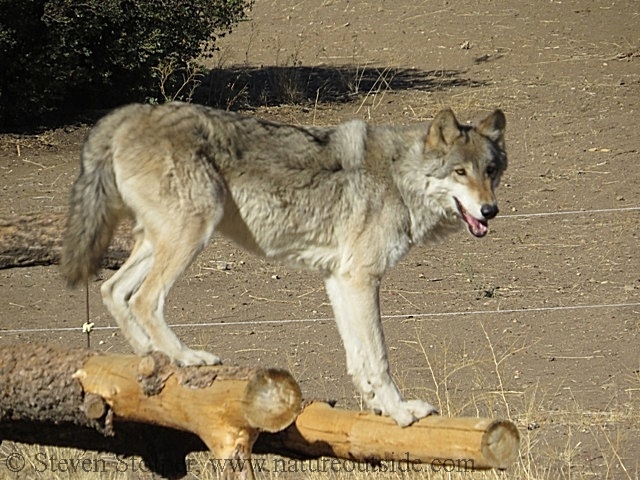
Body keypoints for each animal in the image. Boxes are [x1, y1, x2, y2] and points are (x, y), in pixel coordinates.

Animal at [62, 103, 508, 426]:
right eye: (459, 172)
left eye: (490, 171)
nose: (490, 211)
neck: (400, 177)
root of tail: (128, 113)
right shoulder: (362, 279)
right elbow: (379, 359)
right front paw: (400, 413)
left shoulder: (340, 280)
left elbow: (358, 359)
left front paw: (377, 408)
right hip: (192, 234)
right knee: (144, 300)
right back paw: (186, 358)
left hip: (161, 241)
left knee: (112, 290)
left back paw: (153, 363)